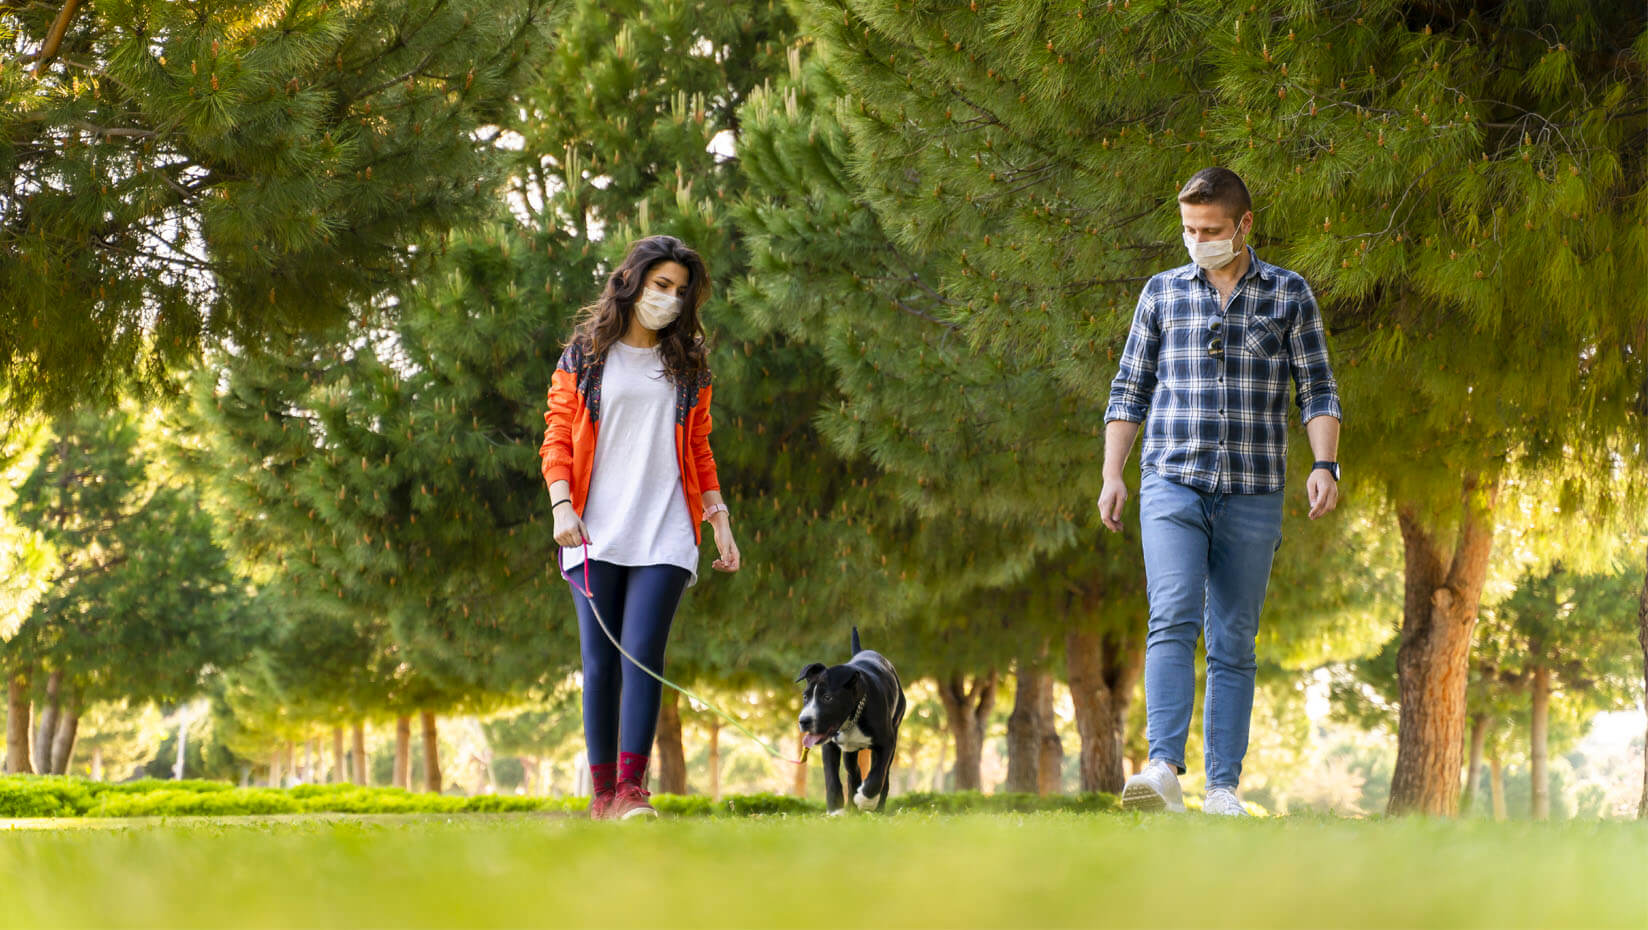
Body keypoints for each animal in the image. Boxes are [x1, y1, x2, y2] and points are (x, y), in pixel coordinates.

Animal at [794, 623, 909, 814]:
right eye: (805, 697)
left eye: (827, 698)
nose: (803, 721)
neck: (853, 717)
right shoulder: (829, 745)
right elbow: (832, 778)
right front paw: (835, 809)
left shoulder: (887, 743)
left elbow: (877, 775)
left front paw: (866, 800)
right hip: (850, 750)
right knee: (853, 773)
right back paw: (852, 808)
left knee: (883, 777)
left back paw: (876, 807)